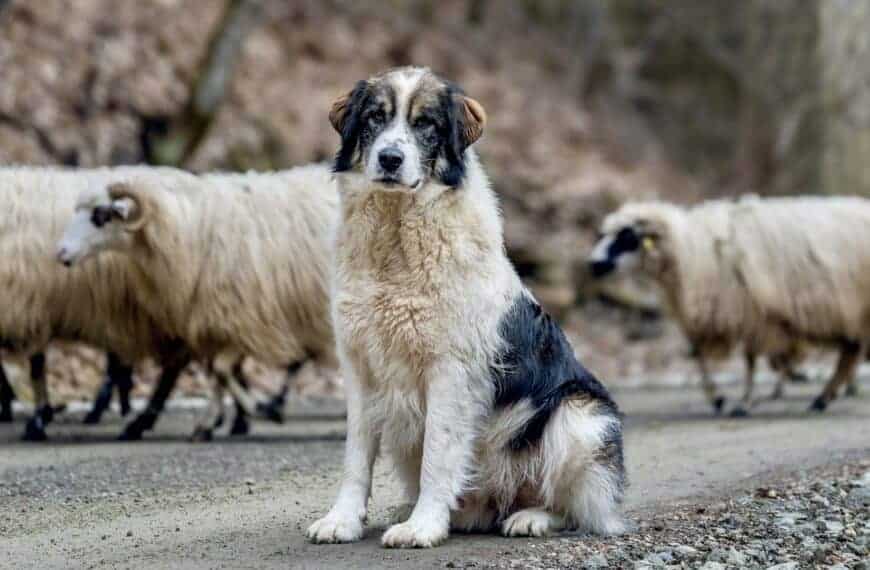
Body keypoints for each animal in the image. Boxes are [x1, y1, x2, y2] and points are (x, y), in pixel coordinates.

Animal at [56, 162, 338, 438]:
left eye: (100, 216)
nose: (61, 253)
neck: (189, 229)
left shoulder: (245, 318)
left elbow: (221, 369)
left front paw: (259, 410)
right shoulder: (216, 319)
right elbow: (218, 372)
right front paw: (210, 423)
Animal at [308, 65, 628, 544]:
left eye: (425, 123)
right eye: (374, 118)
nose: (389, 159)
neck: (395, 236)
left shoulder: (450, 371)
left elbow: (438, 455)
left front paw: (421, 527)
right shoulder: (360, 368)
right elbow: (355, 458)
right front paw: (342, 521)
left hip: (578, 416)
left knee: (577, 506)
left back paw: (530, 517)